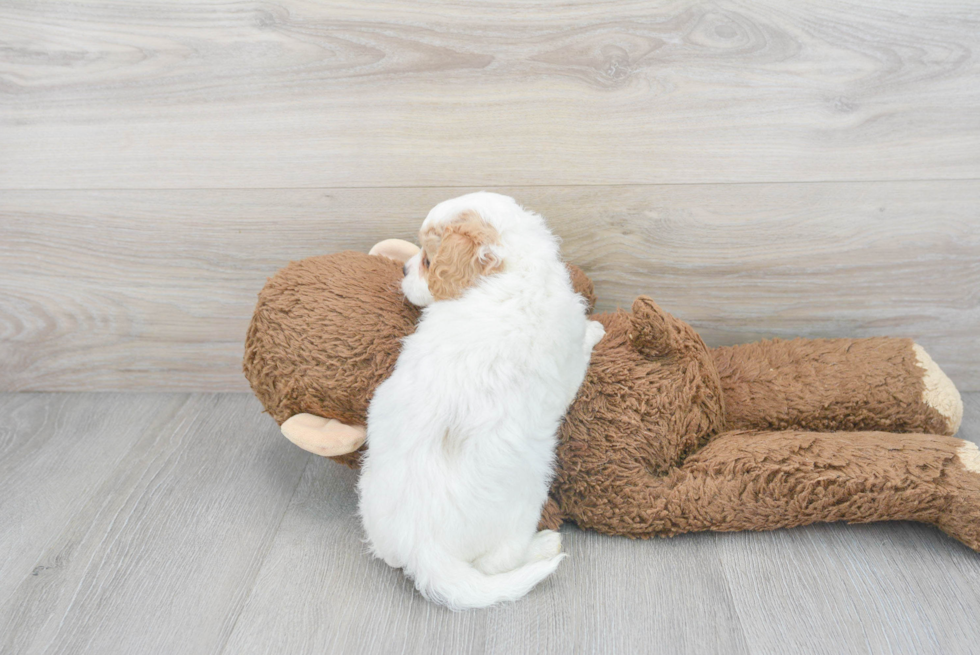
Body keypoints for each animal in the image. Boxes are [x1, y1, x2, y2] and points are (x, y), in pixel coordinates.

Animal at [358, 192, 604, 612]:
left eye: (427, 261)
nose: (403, 267)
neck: (512, 275)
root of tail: (423, 548)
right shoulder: (569, 361)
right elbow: (583, 345)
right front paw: (596, 329)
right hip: (526, 497)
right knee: (496, 562)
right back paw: (545, 544)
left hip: (369, 484)